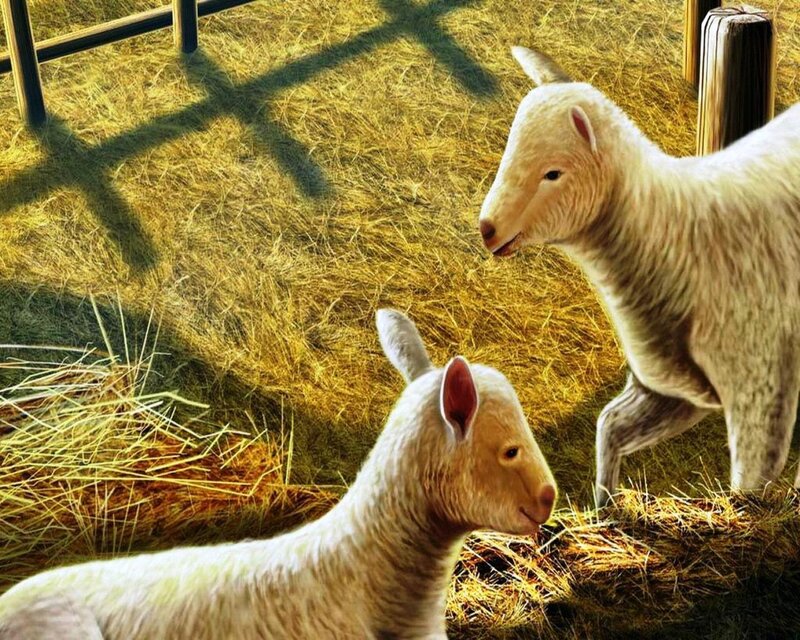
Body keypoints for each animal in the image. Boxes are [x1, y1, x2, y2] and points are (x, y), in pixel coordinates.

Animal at [477, 46, 800, 507]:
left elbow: (749, 487)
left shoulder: (761, 392)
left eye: (553, 173)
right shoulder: (672, 390)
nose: (487, 229)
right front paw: (605, 504)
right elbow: (609, 426)